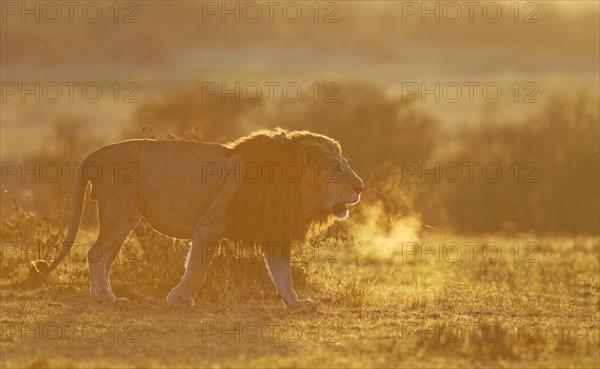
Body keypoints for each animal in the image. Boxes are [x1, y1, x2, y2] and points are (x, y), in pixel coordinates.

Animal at [32, 128, 364, 306]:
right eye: (335, 168)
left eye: (344, 164)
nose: (360, 187)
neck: (292, 188)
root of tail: (95, 154)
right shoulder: (210, 224)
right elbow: (198, 269)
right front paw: (180, 298)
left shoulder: (273, 231)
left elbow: (283, 273)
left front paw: (295, 303)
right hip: (121, 211)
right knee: (96, 254)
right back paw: (108, 299)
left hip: (121, 216)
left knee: (104, 257)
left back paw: (102, 296)